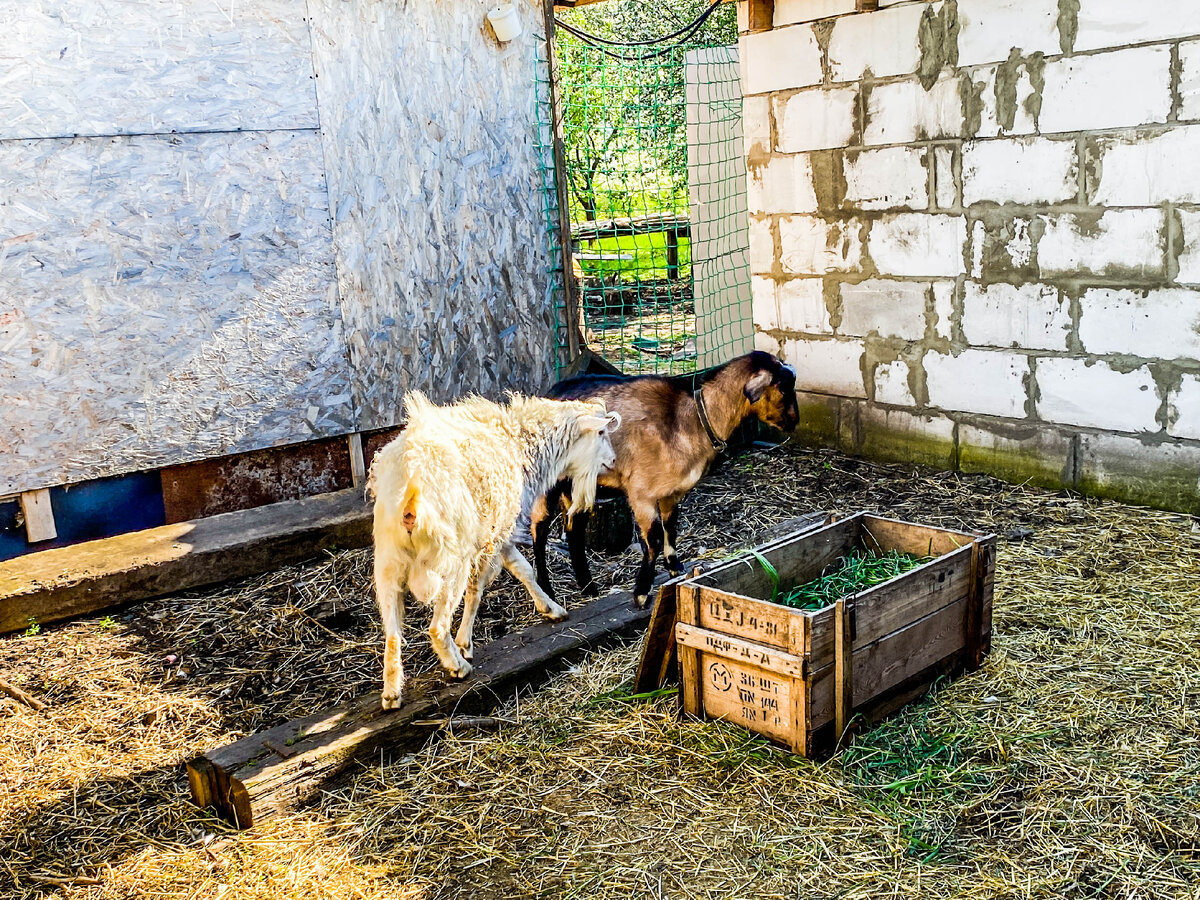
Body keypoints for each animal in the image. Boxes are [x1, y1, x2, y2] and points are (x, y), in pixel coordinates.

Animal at [367, 393, 619, 710]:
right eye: (601, 432)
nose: (613, 461)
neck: (518, 442)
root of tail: (411, 494)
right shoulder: (494, 533)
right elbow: (484, 586)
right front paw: (465, 643)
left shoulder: (500, 533)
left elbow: (521, 569)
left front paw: (550, 608)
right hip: (451, 560)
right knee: (437, 627)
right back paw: (457, 666)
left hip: (389, 563)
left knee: (392, 634)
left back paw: (391, 693)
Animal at [532, 350, 796, 607]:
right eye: (783, 388)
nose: (794, 422)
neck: (692, 419)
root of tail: (549, 393)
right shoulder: (640, 493)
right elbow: (655, 538)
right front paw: (641, 593)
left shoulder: (672, 492)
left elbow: (671, 526)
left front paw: (674, 567)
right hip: (548, 479)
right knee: (540, 529)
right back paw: (547, 593)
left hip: (580, 484)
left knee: (574, 529)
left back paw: (589, 588)